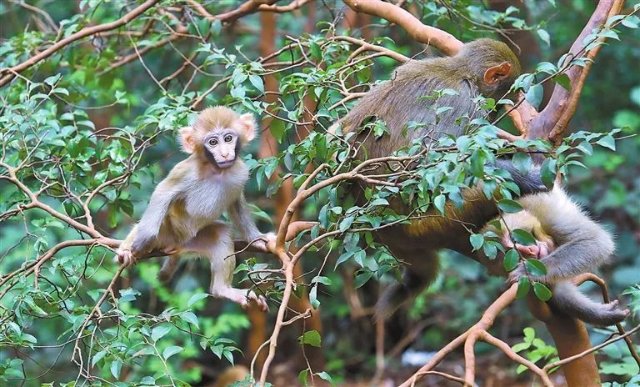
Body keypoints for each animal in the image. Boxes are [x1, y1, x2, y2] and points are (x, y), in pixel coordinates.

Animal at [117, 106, 272, 312]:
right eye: (213, 142)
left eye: (228, 138)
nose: (224, 154)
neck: (217, 170)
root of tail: (176, 244)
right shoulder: (185, 171)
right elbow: (163, 193)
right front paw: (142, 239)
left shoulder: (239, 172)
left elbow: (236, 202)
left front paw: (257, 238)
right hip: (165, 231)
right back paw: (127, 249)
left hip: (193, 241)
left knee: (221, 233)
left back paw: (223, 290)